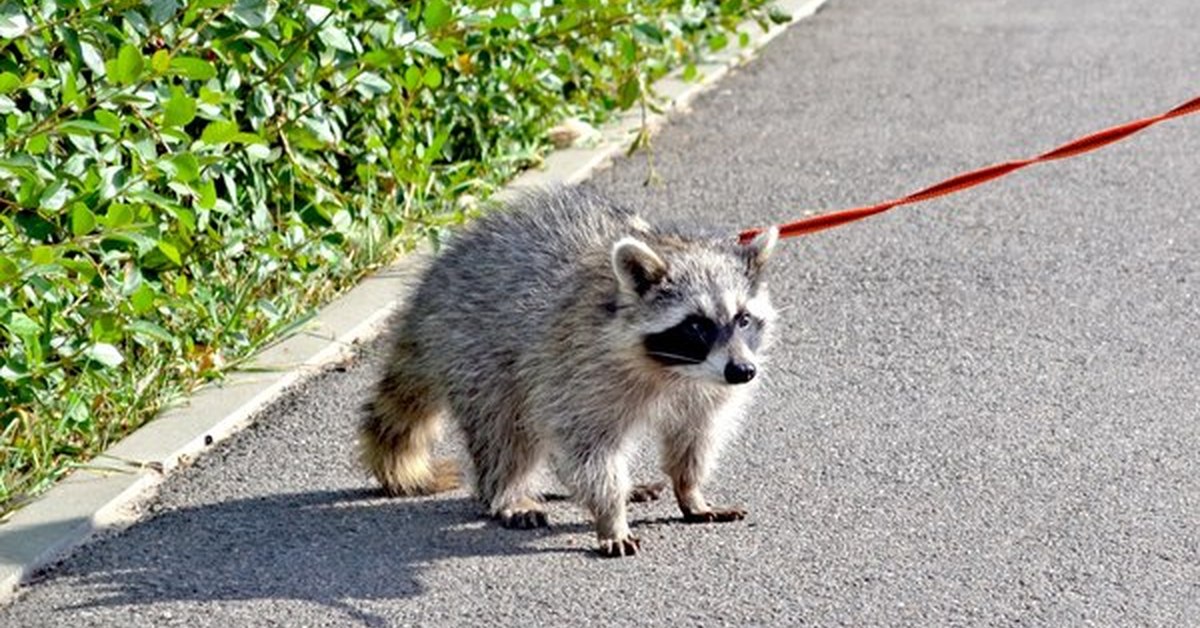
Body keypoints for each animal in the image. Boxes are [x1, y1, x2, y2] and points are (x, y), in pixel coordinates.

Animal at [355, 186, 782, 554]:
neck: (675, 370)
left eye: (743, 319)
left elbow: (695, 436)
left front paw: (689, 489)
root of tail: (430, 290)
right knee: (504, 431)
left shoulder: (707, 388)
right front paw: (611, 514)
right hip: (477, 349)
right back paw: (507, 490)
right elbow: (588, 446)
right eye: (696, 325)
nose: (743, 372)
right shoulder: (580, 361)